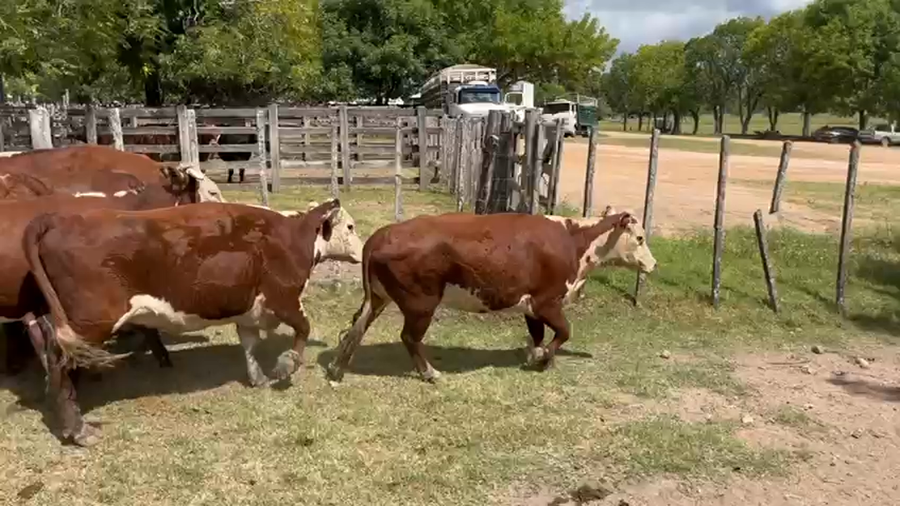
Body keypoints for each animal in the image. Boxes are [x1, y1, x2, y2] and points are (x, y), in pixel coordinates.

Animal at [22, 199, 363, 446]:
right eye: (350, 225)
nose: (362, 251)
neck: (291, 235)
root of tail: (59, 218)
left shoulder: (249, 309)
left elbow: (250, 344)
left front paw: (259, 378)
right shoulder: (285, 299)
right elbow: (304, 328)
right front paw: (285, 365)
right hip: (90, 321)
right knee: (59, 361)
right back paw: (78, 429)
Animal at [325, 210, 656, 384]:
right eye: (640, 238)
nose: (653, 264)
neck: (573, 242)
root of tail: (381, 234)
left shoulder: (531, 306)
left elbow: (539, 334)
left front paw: (540, 358)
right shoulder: (547, 302)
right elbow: (563, 332)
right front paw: (541, 357)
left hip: (378, 298)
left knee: (357, 328)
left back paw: (337, 369)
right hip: (421, 304)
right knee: (409, 337)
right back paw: (431, 373)